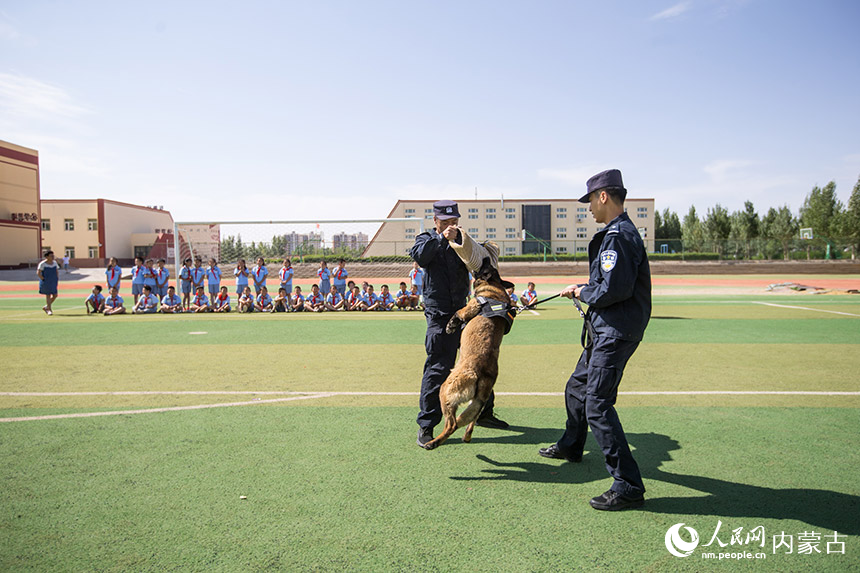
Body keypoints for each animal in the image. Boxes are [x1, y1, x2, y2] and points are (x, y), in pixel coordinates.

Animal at [422, 256, 512, 450]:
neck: (494, 285)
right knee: (470, 419)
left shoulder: (470, 307)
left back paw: (433, 443)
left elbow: (457, 313)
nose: (486, 257)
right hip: (477, 400)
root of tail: (479, 373)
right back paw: (465, 436)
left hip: (445, 391)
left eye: (486, 265)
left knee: (452, 424)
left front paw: (450, 326)